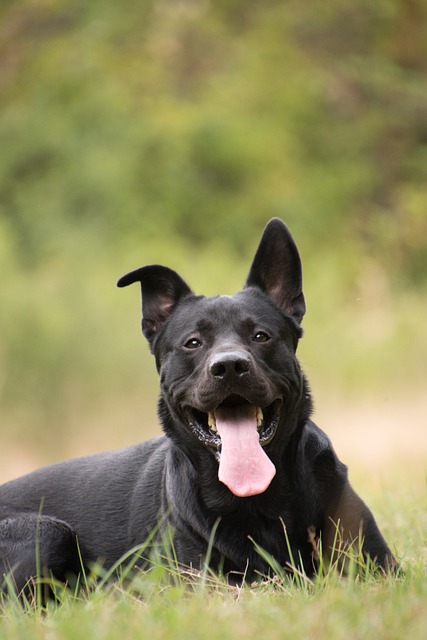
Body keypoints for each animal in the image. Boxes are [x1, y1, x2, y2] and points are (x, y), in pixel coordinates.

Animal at [0, 221, 396, 596]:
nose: (230, 366)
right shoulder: (195, 582)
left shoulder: (381, 568)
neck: (256, 500)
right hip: (47, 531)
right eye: (193, 343)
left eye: (261, 336)